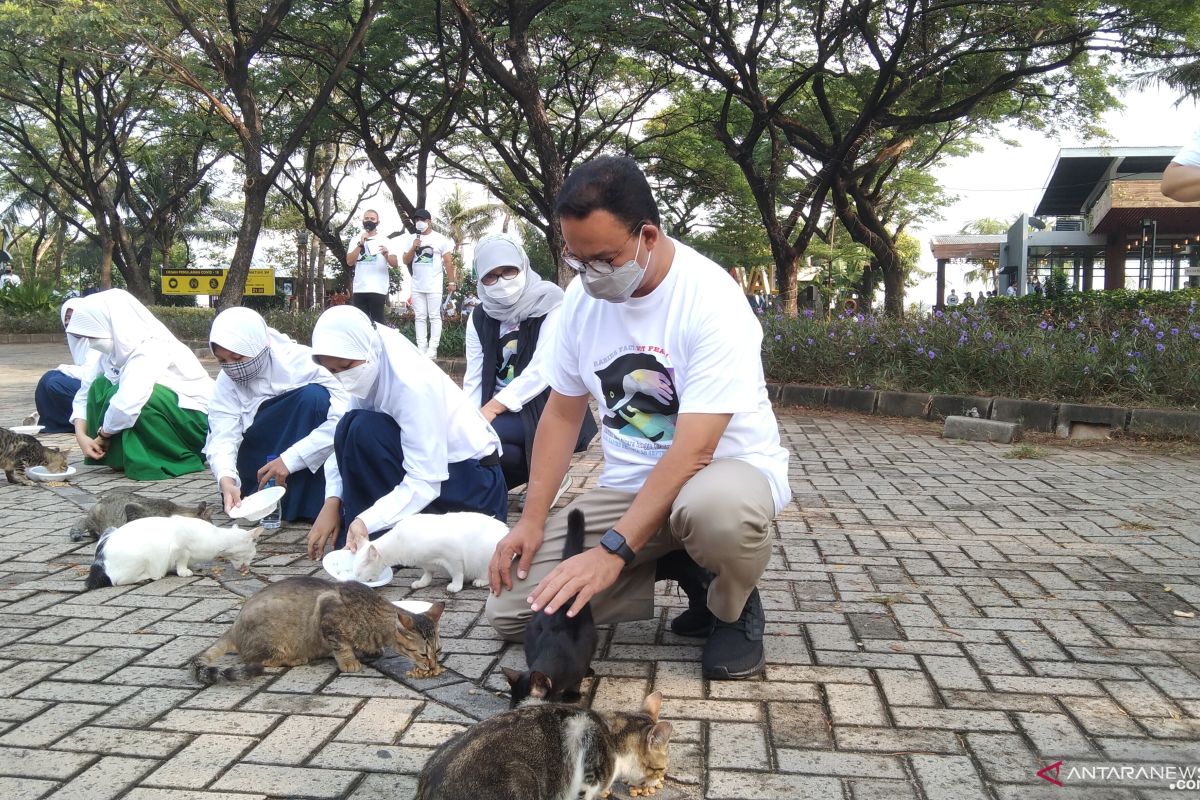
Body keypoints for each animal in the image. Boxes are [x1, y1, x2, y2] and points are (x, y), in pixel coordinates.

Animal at [85, 520, 262, 587]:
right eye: (253, 553)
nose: (249, 564)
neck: (218, 537)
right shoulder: (180, 546)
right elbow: (182, 560)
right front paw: (184, 572)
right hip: (139, 559)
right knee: (118, 581)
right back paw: (150, 576)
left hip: (110, 529)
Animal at [192, 578, 446, 686]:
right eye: (423, 654)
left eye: (438, 650)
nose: (433, 665)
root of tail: (233, 627)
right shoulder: (329, 618)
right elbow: (341, 646)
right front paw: (349, 661)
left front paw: (371, 650)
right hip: (272, 641)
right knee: (257, 659)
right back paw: (296, 658)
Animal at [352, 513, 508, 594]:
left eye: (359, 573)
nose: (356, 583)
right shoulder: (425, 563)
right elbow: (427, 574)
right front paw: (422, 583)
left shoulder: (453, 556)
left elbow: (457, 573)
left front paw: (456, 586)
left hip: (487, 559)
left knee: (489, 575)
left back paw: (480, 580)